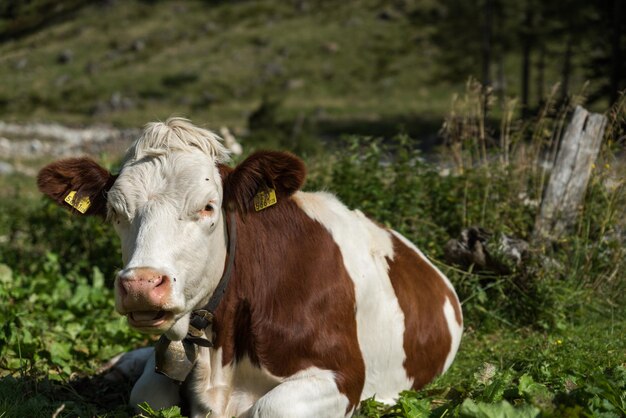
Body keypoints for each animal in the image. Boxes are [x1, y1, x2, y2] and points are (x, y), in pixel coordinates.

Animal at [36, 117, 460, 418]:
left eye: (208, 206)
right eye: (116, 211)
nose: (140, 285)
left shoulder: (344, 373)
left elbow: (271, 407)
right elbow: (149, 395)